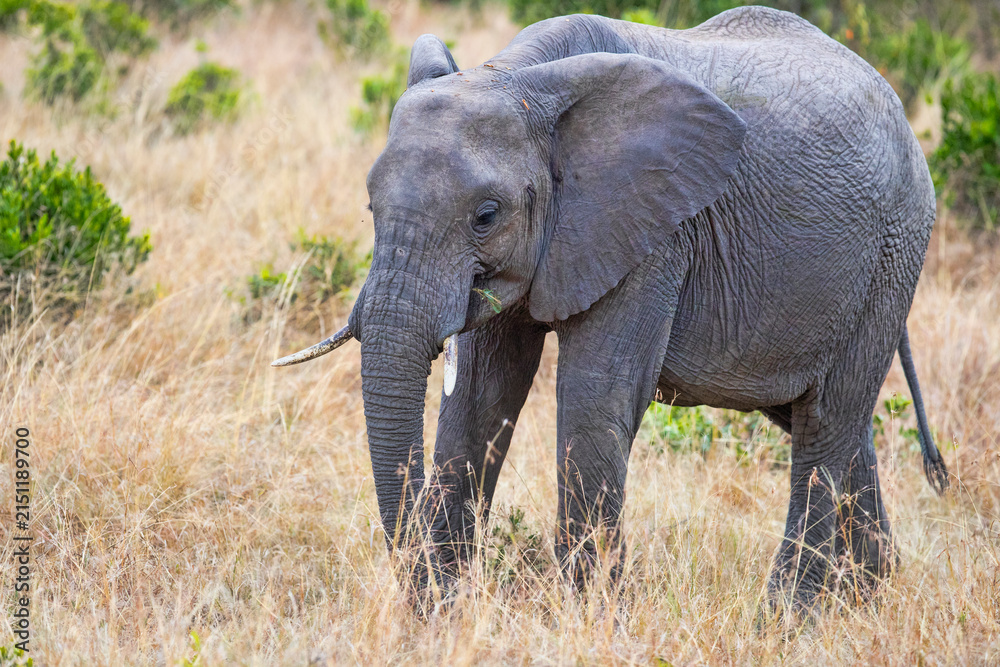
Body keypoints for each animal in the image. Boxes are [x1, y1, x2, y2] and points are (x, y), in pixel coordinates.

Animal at [274, 6, 949, 605]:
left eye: (486, 216)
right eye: (370, 205)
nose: (432, 595)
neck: (518, 76)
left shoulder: (656, 232)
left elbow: (594, 398)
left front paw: (590, 615)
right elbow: (478, 402)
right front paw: (448, 609)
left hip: (893, 253)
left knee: (826, 421)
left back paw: (789, 619)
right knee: (826, 415)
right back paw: (866, 595)